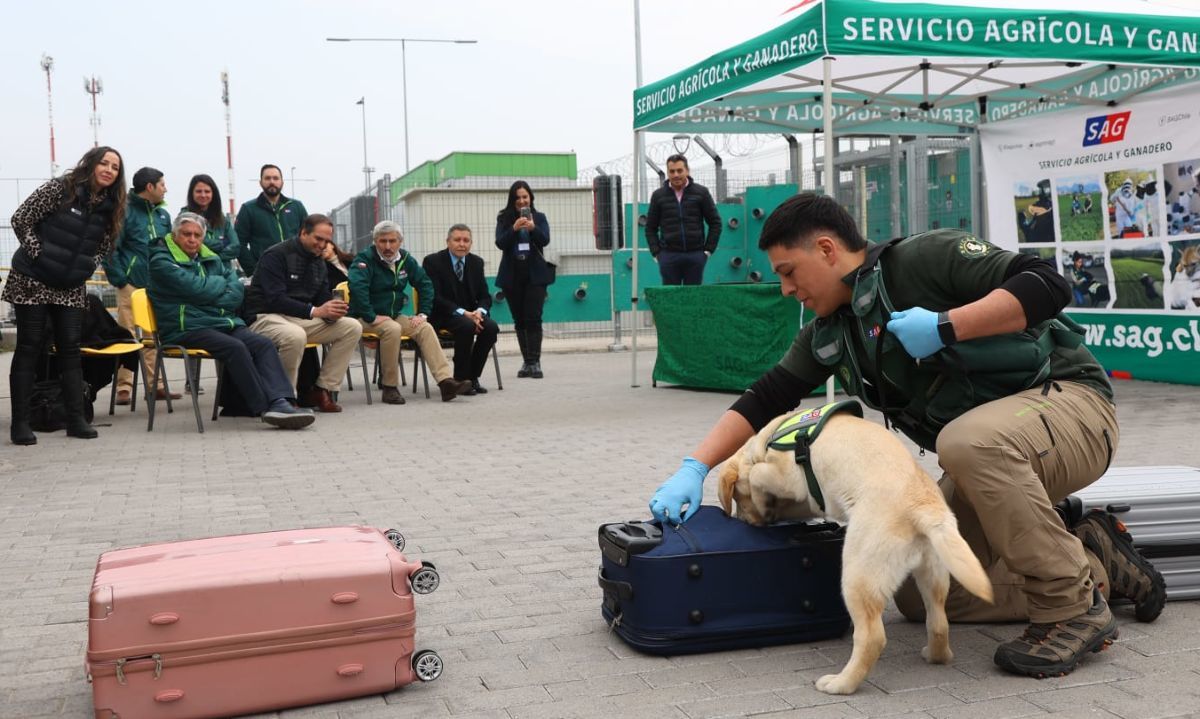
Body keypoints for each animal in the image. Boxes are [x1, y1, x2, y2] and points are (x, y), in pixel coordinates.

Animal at [720, 410, 993, 696]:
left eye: (737, 498)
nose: (747, 522)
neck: (770, 438)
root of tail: (924, 507)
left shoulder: (789, 478)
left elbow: (757, 473)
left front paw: (762, 499)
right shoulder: (806, 500)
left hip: (857, 575)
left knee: (872, 637)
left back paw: (840, 683)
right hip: (934, 572)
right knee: (938, 620)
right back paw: (936, 655)